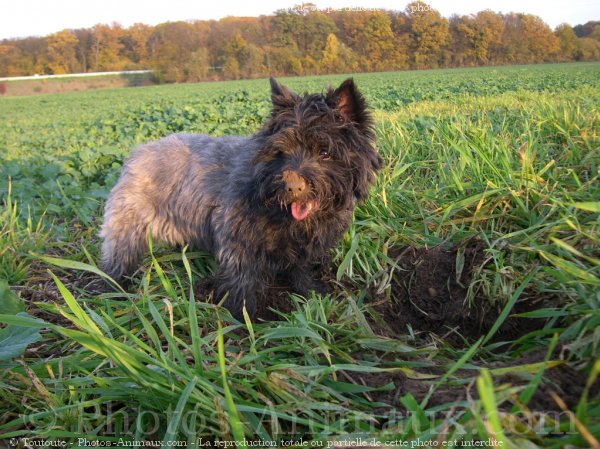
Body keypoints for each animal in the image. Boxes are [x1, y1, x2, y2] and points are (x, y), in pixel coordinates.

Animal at [98, 77, 380, 316]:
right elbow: (242, 284)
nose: (291, 186)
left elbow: (301, 269)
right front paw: (246, 319)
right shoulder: (238, 245)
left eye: (325, 152)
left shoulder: (302, 248)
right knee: (117, 262)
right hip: (128, 231)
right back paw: (112, 292)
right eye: (282, 151)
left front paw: (310, 292)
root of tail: (136, 153)